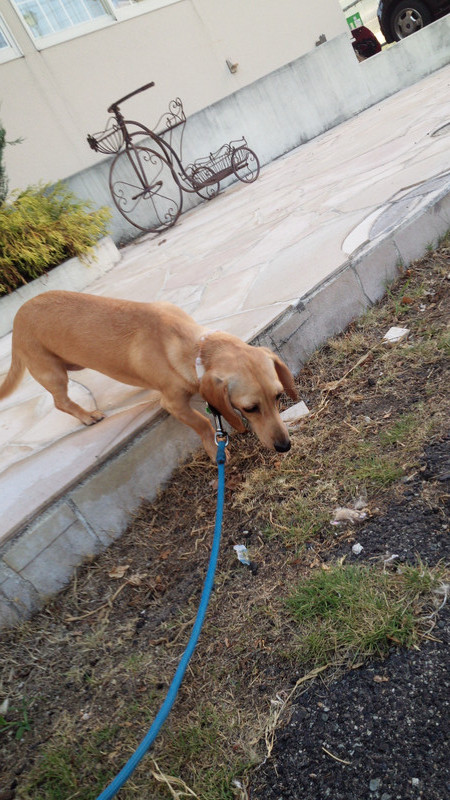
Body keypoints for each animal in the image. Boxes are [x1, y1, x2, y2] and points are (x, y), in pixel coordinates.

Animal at [0, 291, 298, 460]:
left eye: (278, 396)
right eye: (250, 408)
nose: (285, 446)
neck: (193, 347)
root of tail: (17, 318)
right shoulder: (174, 403)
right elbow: (202, 422)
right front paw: (215, 451)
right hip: (52, 373)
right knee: (60, 401)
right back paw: (86, 416)